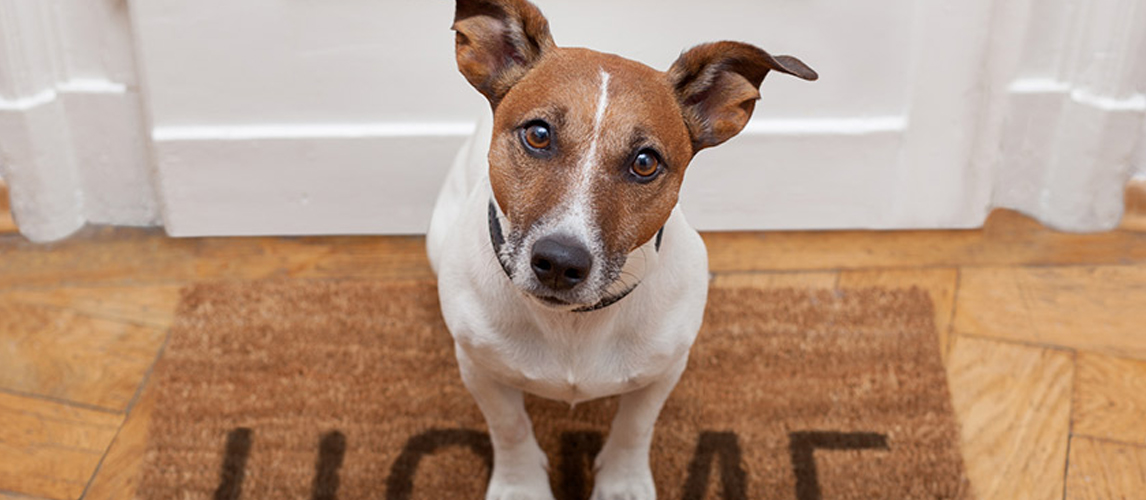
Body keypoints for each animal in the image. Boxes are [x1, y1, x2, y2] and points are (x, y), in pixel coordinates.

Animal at [428, 1, 815, 497]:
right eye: (538, 134)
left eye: (645, 162)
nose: (559, 262)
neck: (573, 324)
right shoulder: (480, 370)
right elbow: (509, 427)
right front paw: (521, 485)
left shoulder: (664, 371)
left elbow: (634, 427)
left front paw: (622, 483)